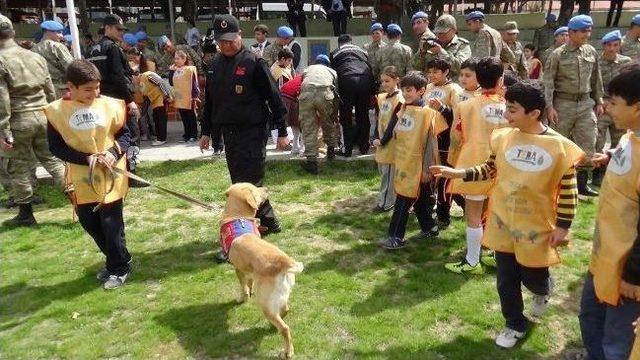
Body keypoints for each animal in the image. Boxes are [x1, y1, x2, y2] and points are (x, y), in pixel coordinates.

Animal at [221, 184, 304, 358]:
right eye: (256, 189)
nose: (266, 188)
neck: (237, 216)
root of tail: (285, 262)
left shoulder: (238, 269)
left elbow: (243, 287)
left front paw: (243, 298)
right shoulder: (250, 271)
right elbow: (250, 282)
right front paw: (249, 290)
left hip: (265, 303)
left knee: (284, 328)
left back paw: (288, 351)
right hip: (280, 297)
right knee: (285, 310)